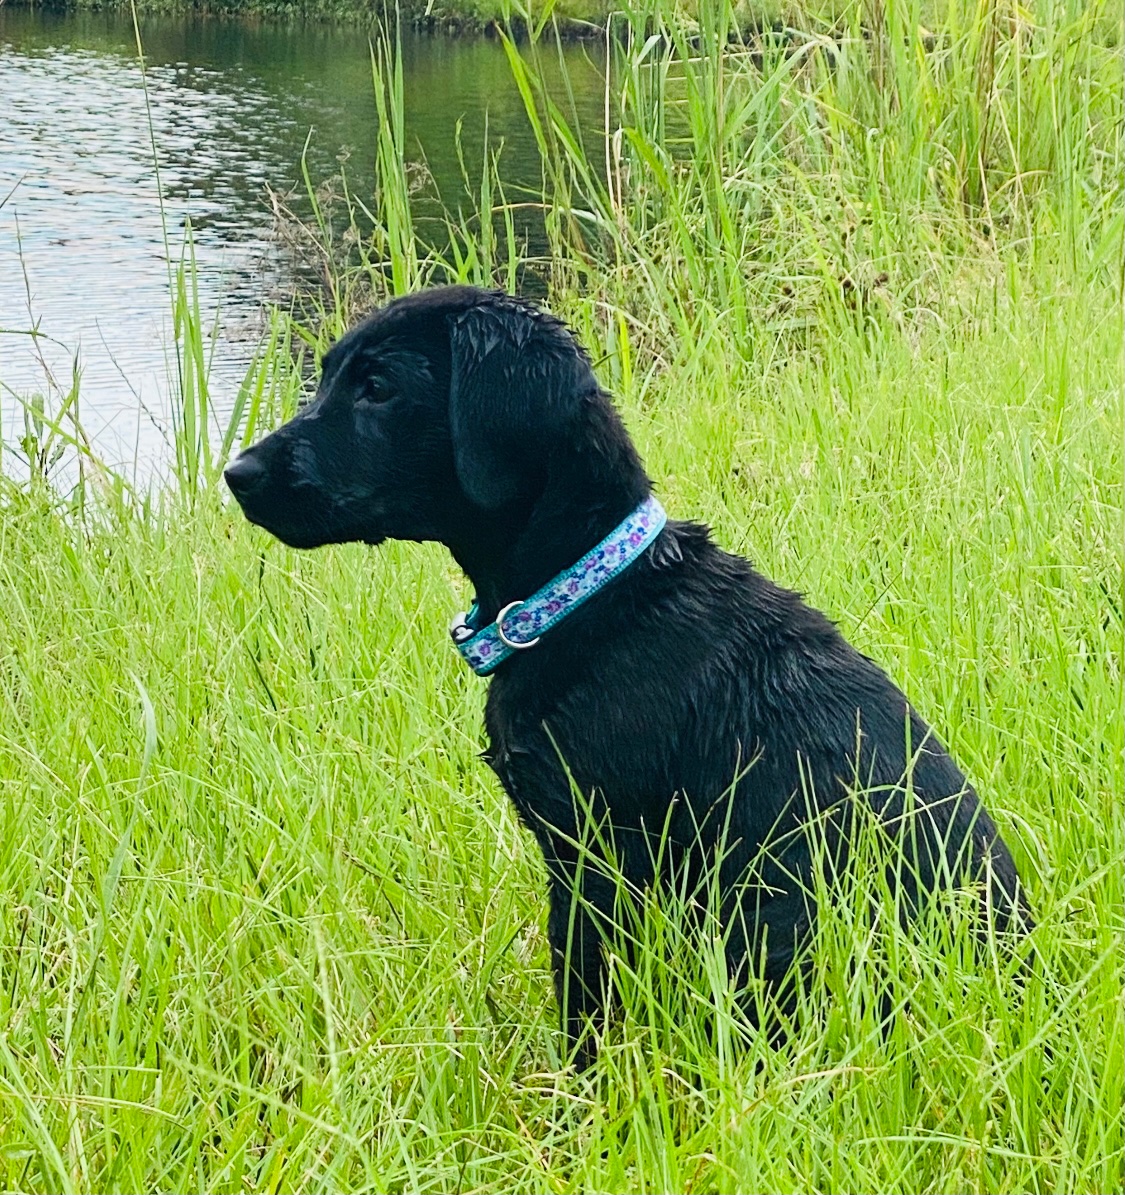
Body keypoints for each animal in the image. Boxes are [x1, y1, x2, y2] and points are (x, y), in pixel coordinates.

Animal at [223, 284, 1032, 1070]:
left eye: (378, 388)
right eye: (329, 376)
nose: (236, 474)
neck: (588, 597)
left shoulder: (594, 859)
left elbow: (583, 1002)